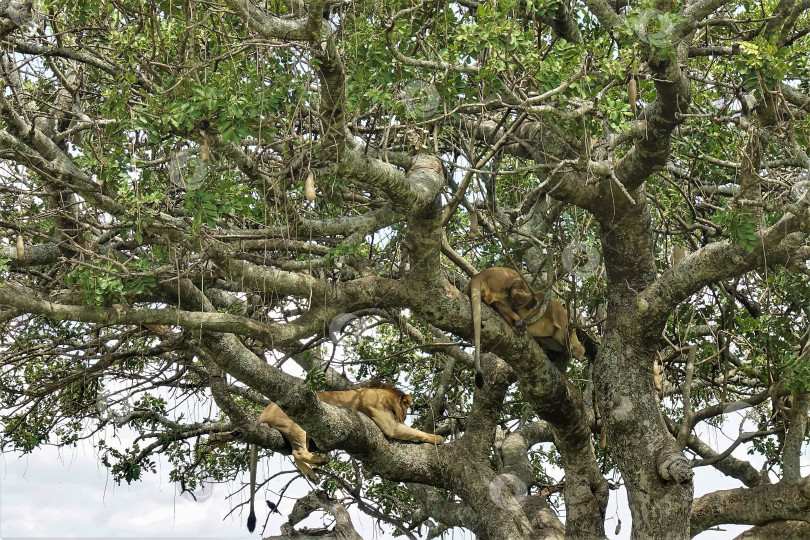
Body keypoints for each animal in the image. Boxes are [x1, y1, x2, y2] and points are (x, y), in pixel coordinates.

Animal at [246, 380, 442, 532]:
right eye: (406, 412)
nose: (404, 418)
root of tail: (261, 415)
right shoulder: (389, 425)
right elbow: (416, 432)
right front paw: (438, 438)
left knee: (296, 454)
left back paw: (312, 474)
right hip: (296, 421)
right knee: (299, 452)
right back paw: (322, 460)